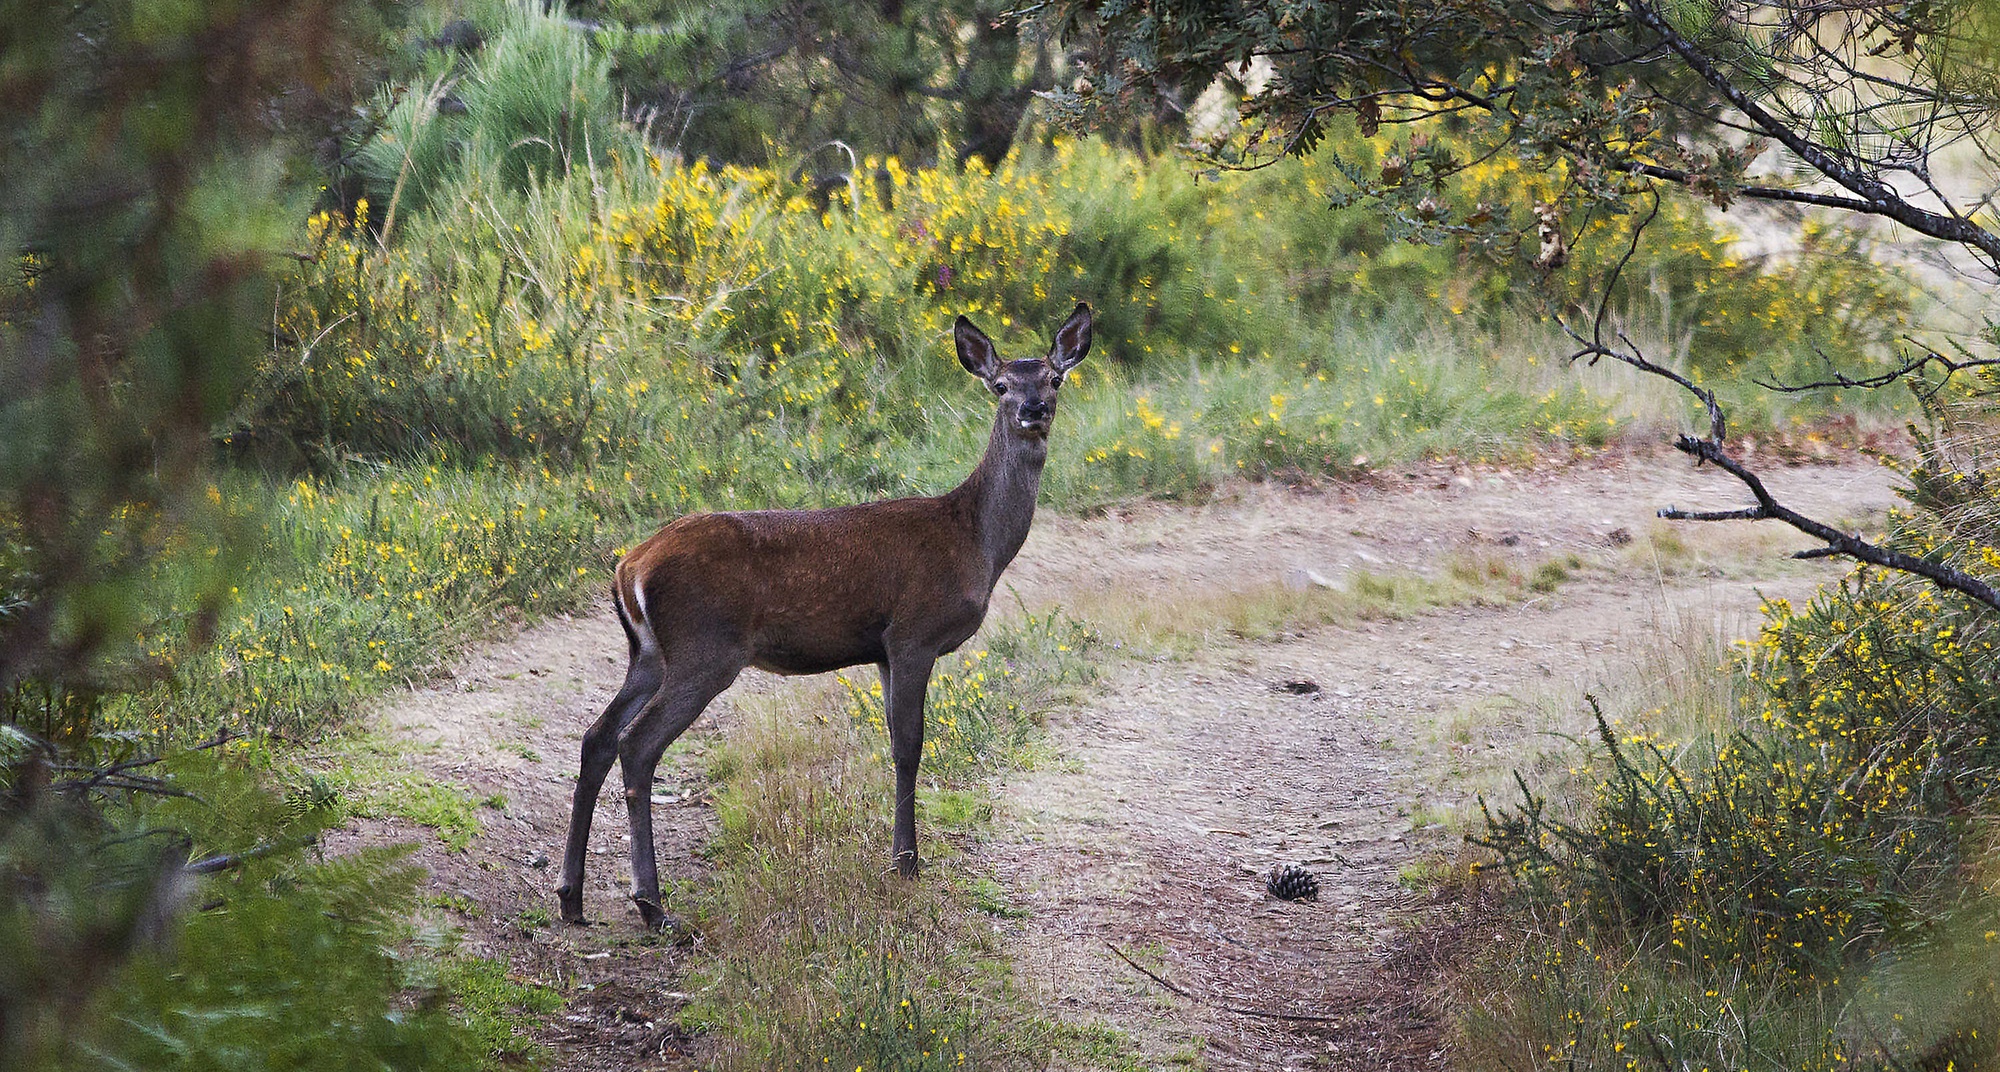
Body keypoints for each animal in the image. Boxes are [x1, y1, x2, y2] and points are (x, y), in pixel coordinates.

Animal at [557, 303, 1093, 929]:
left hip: (648, 654)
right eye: (1002, 385)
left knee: (597, 737)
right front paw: (907, 864)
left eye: (1054, 379)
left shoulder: (884, 650)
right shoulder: (913, 632)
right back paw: (653, 906)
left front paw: (901, 857)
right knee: (637, 744)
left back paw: (571, 898)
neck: (974, 540)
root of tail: (630, 567)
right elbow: (910, 746)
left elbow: (895, 741)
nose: (1033, 410)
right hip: (704, 649)